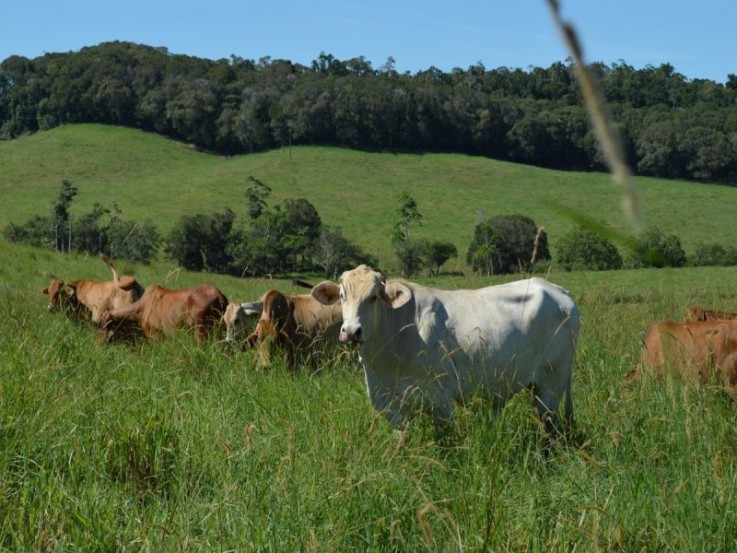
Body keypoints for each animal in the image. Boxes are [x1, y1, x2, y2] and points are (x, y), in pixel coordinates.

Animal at [310, 266, 580, 434]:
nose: (351, 331)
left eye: (374, 297)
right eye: (342, 296)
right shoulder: (388, 403)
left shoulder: (439, 399)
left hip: (551, 383)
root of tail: (559, 291)